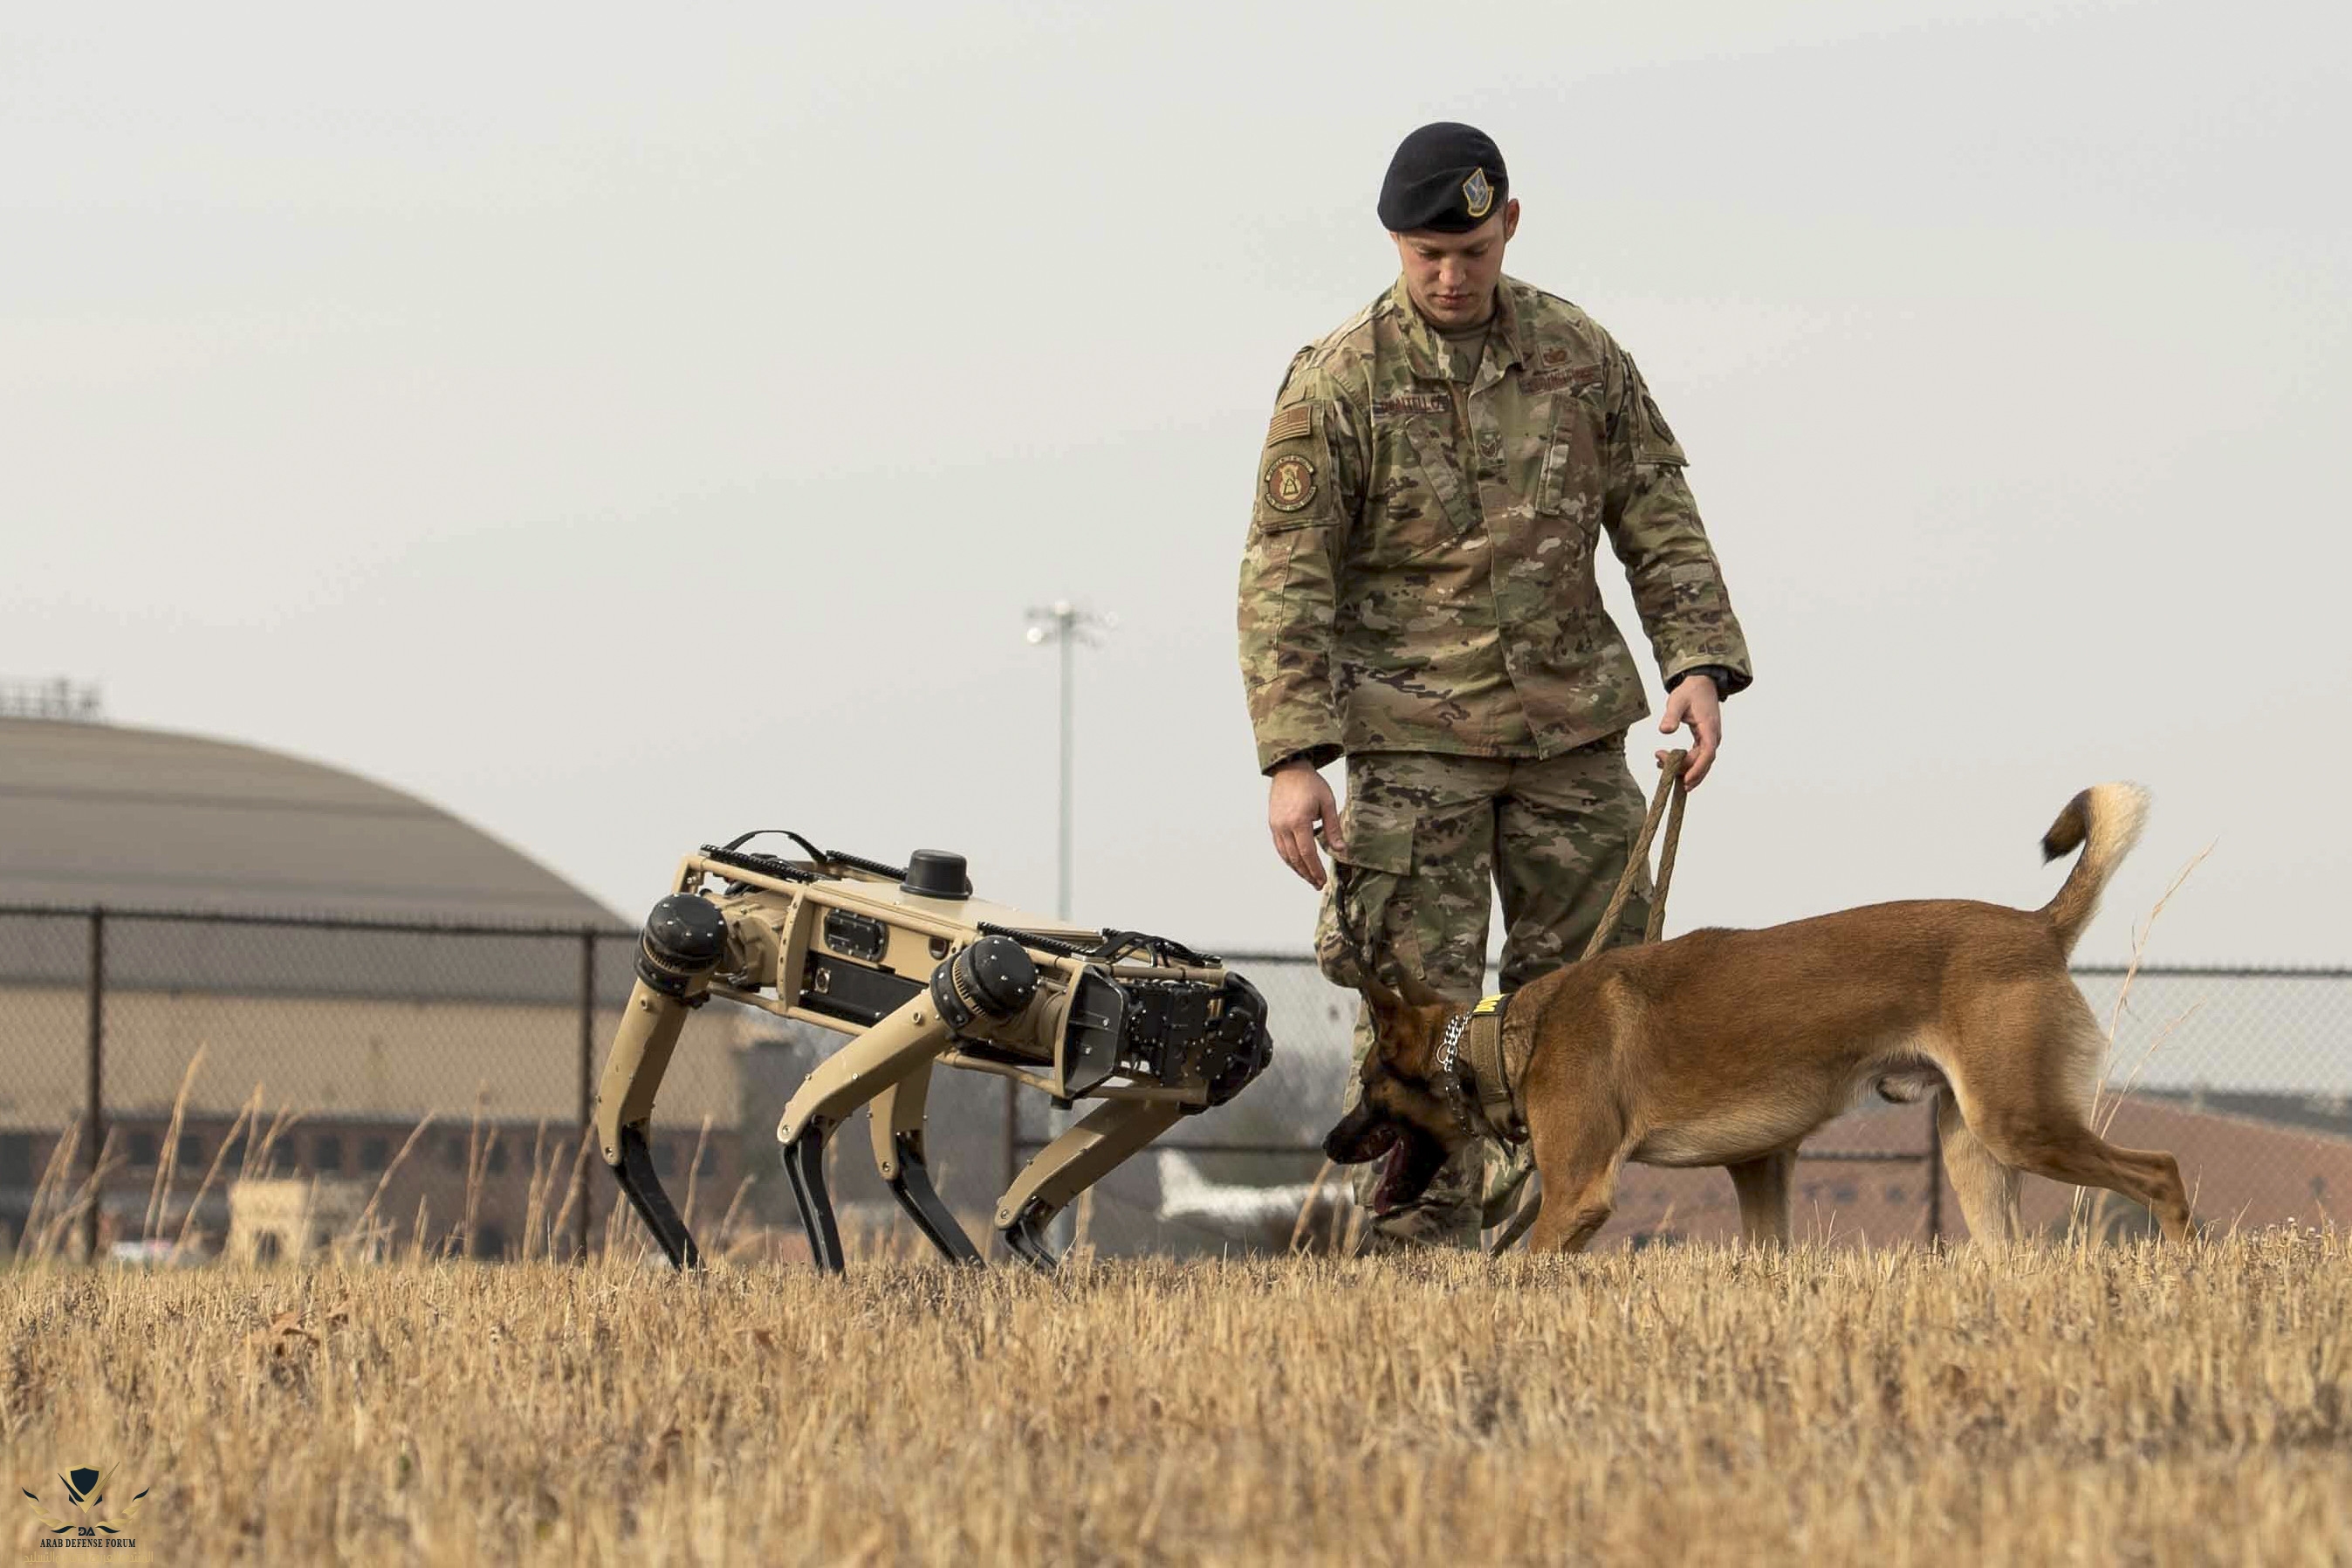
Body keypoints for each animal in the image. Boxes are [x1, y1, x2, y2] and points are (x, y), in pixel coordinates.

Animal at [1317, 780, 2191, 1250]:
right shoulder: (1761, 1164)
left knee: (2161, 1171)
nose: (1328, 1142)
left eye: (1365, 1084)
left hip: (2022, 1123)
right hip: (1972, 1146)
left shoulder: (1576, 1193)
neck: (1506, 1038)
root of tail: (2037, 926)